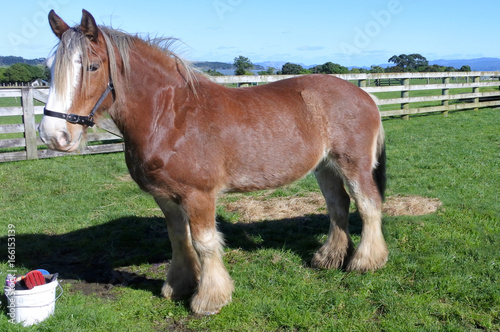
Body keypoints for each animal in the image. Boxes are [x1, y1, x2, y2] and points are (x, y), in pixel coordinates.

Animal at [39, 9, 388, 316]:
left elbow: (204, 243)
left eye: (92, 67)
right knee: (338, 205)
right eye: (49, 67)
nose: (54, 135)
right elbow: (179, 239)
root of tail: (366, 96)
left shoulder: (199, 195)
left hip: (353, 165)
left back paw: (366, 262)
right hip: (325, 167)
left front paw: (209, 299)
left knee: (368, 205)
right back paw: (329, 258)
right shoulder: (165, 196)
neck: (171, 116)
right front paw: (178, 286)